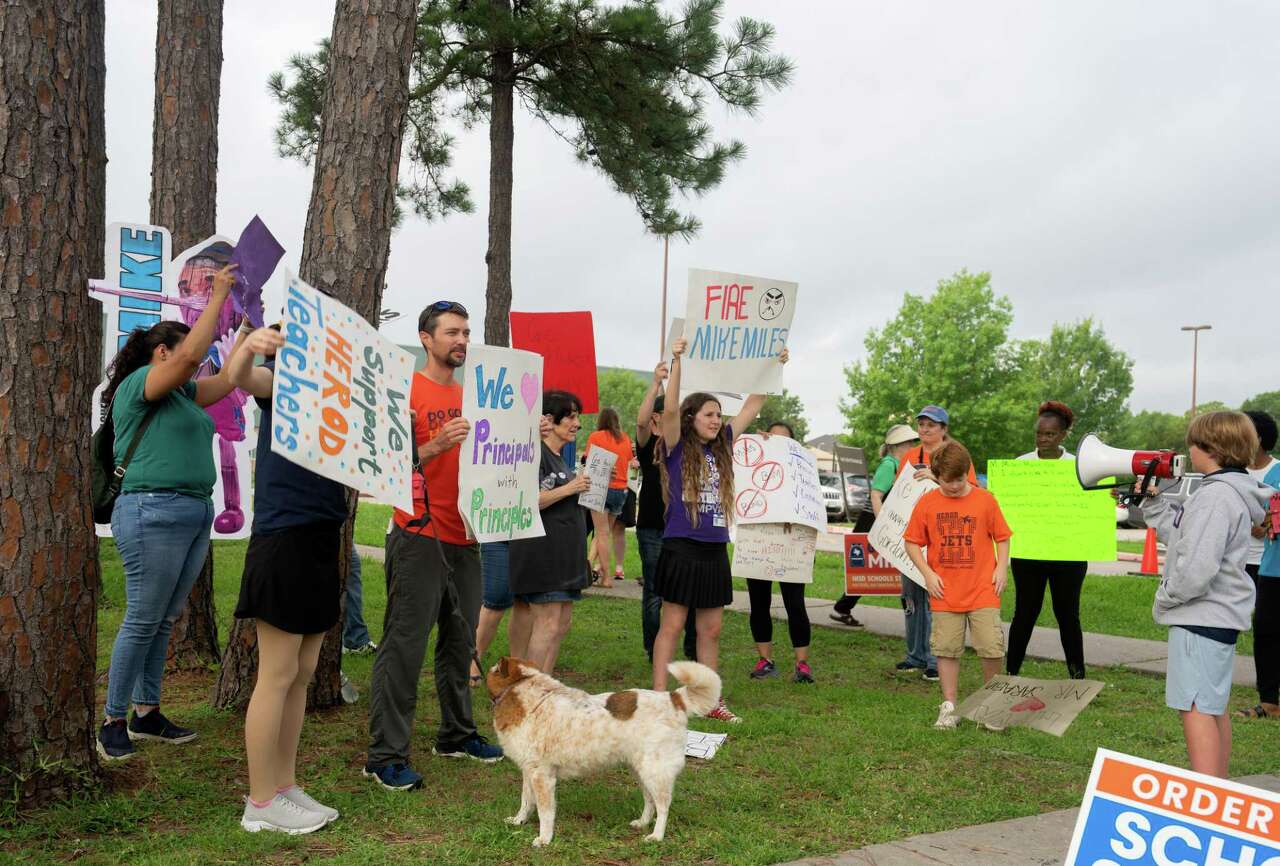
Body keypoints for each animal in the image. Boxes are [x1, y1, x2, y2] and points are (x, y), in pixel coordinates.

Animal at [483, 654, 721, 844]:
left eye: (493, 669)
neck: (525, 693)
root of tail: (674, 698)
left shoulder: (542, 776)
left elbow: (545, 811)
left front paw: (544, 838)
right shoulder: (529, 771)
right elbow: (526, 801)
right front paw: (519, 821)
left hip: (655, 772)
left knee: (663, 806)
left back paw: (656, 835)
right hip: (641, 770)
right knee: (650, 800)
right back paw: (642, 823)